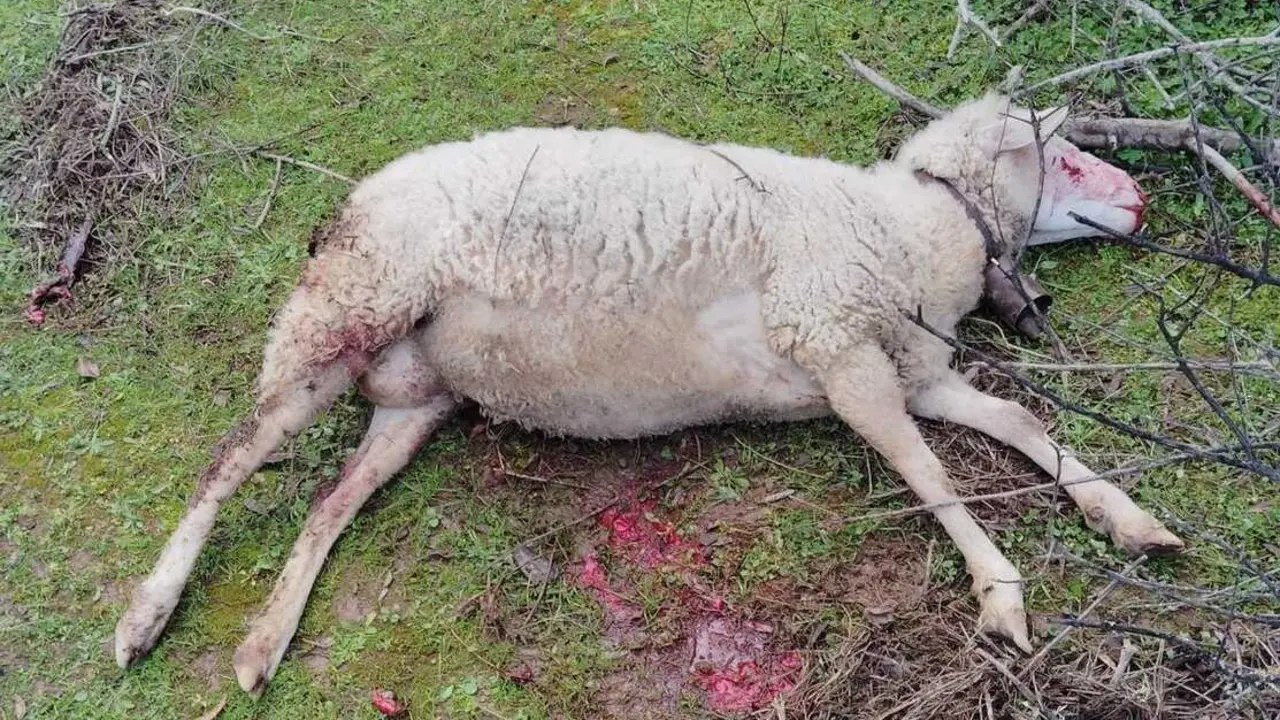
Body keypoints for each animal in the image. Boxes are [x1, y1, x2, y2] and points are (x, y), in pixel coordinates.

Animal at [113, 92, 1185, 695]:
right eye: (1068, 156)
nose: (1140, 201)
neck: (918, 227)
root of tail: (348, 204)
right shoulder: (839, 346)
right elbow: (928, 472)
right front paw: (1001, 593)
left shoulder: (912, 369)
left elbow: (1014, 420)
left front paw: (1126, 516)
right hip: (347, 308)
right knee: (231, 459)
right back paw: (147, 615)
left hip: (411, 396)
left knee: (331, 503)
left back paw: (263, 641)